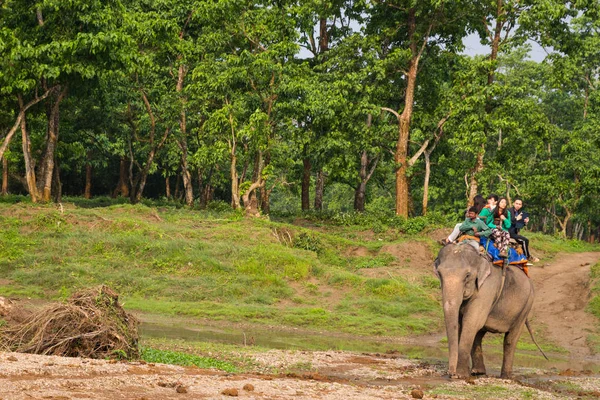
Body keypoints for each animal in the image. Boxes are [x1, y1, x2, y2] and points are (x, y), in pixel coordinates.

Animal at [434, 242, 536, 380]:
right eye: (439, 274)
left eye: (467, 276)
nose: (451, 373)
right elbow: (463, 324)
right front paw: (461, 374)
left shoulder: (487, 287)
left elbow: (471, 322)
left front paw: (461, 375)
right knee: (479, 334)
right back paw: (478, 372)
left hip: (526, 306)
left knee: (510, 339)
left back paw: (505, 377)